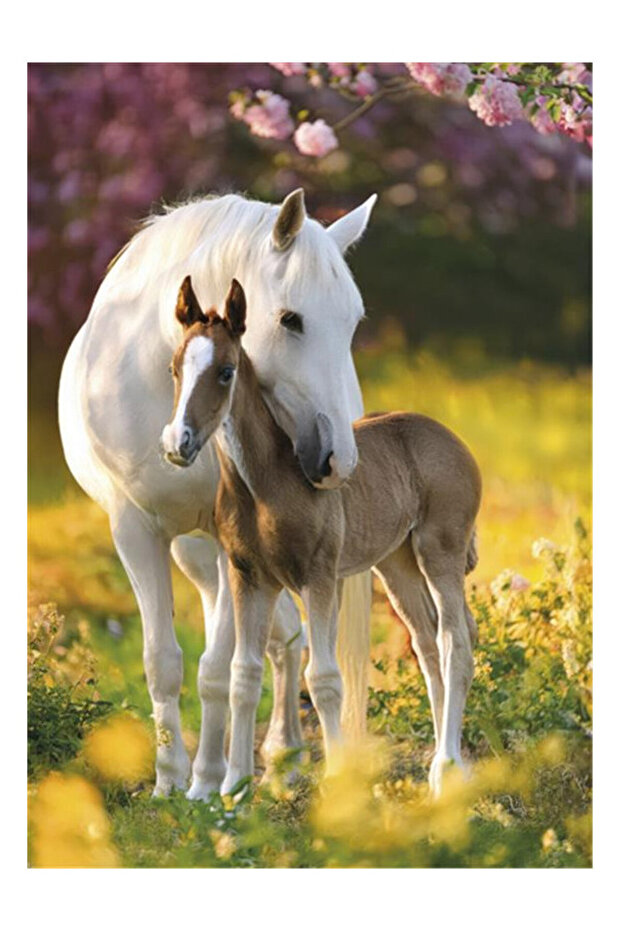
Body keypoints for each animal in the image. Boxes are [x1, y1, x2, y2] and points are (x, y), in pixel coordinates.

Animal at [58, 189, 378, 798]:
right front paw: (168, 783)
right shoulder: (135, 530)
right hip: (197, 555)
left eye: (352, 323)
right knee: (280, 635)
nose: (337, 461)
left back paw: (278, 757)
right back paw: (273, 757)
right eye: (291, 319)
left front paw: (207, 783)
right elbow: (163, 663)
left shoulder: (235, 542)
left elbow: (216, 668)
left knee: (280, 640)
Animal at [162, 277, 481, 796]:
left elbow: (325, 678)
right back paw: (448, 764)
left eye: (226, 372)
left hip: (441, 552)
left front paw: (337, 782)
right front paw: (233, 788)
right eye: (174, 368)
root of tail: (450, 438)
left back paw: (447, 768)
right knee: (428, 644)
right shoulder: (249, 577)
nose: (178, 443)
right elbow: (243, 673)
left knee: (455, 641)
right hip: (397, 565)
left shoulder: (319, 576)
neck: (265, 484)